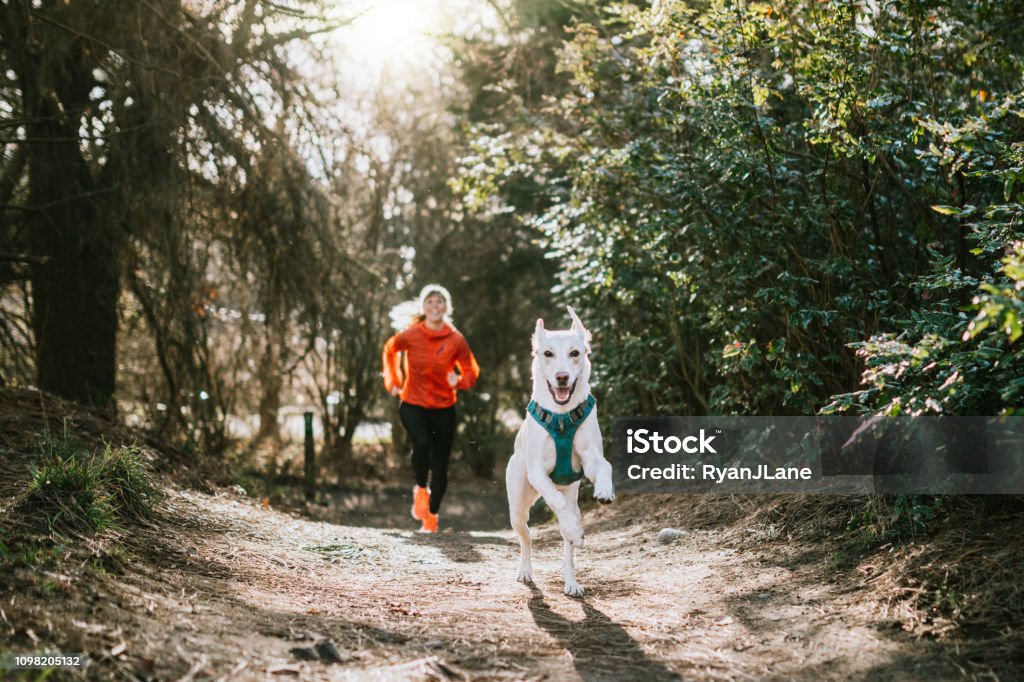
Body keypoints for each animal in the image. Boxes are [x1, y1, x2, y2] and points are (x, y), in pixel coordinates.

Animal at [505, 305, 614, 593]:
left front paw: (604, 490)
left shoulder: (590, 457)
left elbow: (605, 465)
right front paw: (573, 527)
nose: (562, 377)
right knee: (527, 537)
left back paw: (571, 580)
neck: (562, 417)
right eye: (548, 354)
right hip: (517, 507)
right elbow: (555, 501)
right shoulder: (537, 473)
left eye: (575, 353)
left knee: (568, 544)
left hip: (572, 499)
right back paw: (526, 569)